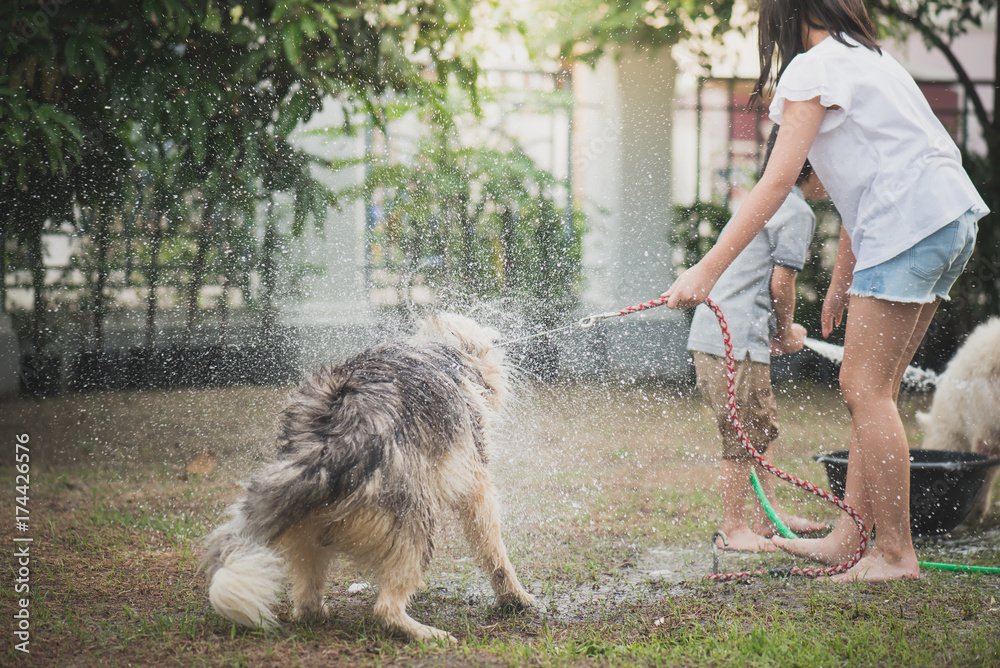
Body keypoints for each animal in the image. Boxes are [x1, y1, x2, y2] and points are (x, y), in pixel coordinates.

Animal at [198, 314, 536, 640]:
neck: (446, 351)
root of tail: (332, 443)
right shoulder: (475, 478)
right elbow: (493, 547)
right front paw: (514, 597)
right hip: (414, 520)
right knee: (386, 609)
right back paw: (425, 633)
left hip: (308, 525)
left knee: (308, 598)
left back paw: (316, 612)